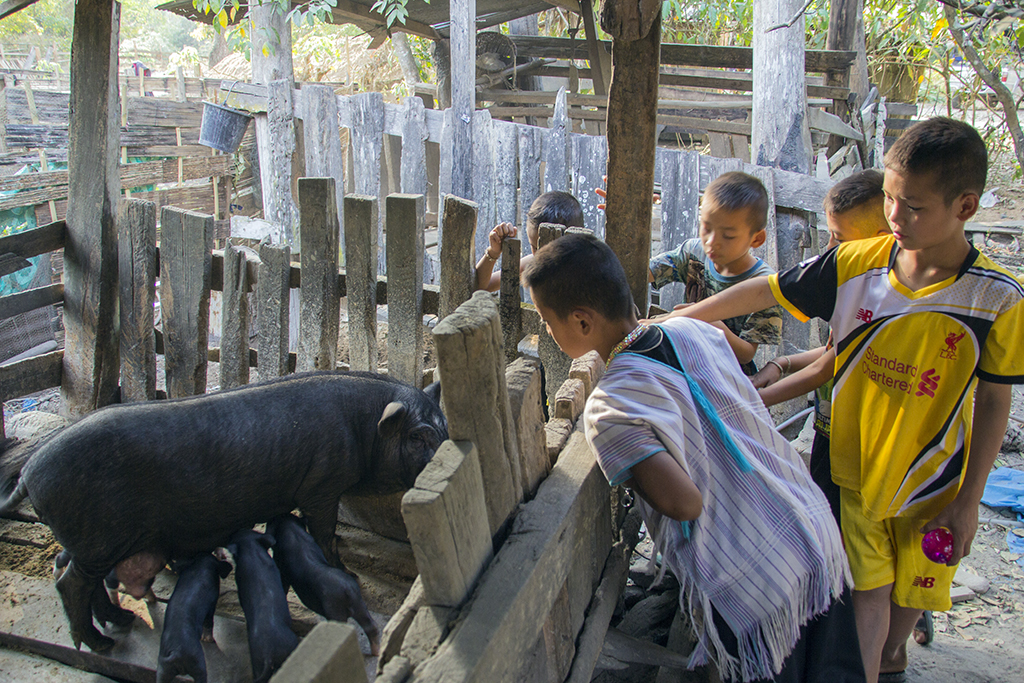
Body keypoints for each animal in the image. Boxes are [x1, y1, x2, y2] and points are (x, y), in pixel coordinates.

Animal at [155, 552, 232, 683]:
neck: (201, 566)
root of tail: (176, 653)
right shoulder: (212, 600)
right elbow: (209, 621)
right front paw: (207, 640)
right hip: (198, 663)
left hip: (163, 668)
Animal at [268, 516, 380, 655]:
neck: (292, 532)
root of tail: (347, 589)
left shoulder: (281, 566)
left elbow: (283, 585)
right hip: (359, 604)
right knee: (371, 626)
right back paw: (376, 652)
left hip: (334, 609)